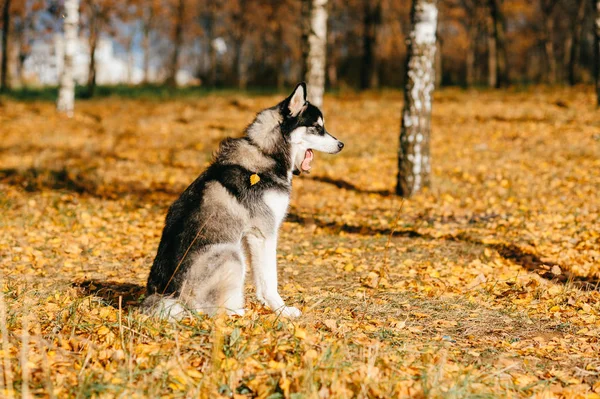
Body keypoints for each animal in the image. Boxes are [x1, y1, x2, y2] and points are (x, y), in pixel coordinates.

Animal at [143, 83, 344, 318]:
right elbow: (270, 280)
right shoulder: (264, 233)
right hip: (231, 254)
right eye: (317, 127)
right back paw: (240, 312)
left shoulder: (250, 237)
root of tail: (167, 295)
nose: (341, 144)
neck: (265, 152)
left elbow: (260, 279)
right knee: (206, 311)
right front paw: (281, 310)